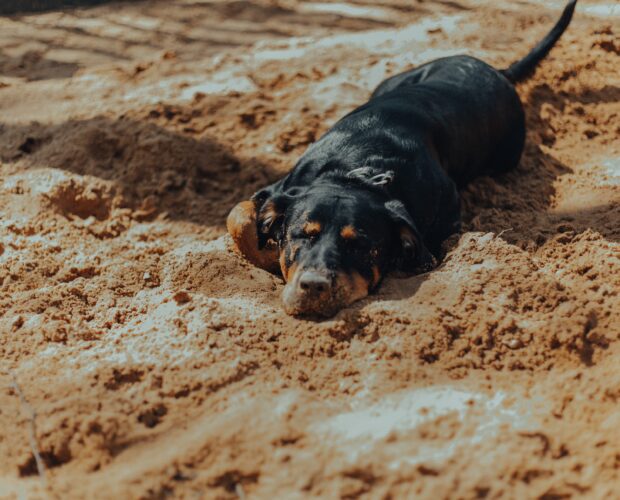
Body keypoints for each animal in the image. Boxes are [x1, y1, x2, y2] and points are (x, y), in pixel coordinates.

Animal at [229, 0, 580, 316]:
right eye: (303, 234)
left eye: (360, 245)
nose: (314, 285)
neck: (358, 170)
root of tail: (497, 71)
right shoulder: (280, 187)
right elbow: (240, 216)